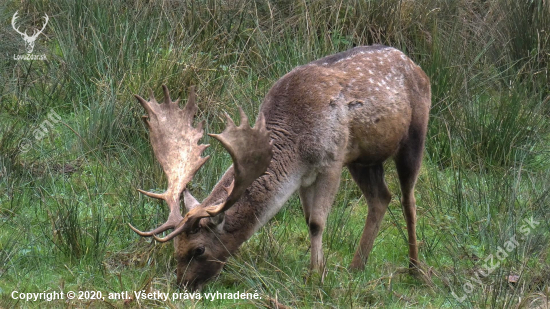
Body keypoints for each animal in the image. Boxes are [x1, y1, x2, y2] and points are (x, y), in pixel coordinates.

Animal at [130, 44, 432, 290]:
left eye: (199, 250)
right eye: (176, 247)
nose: (183, 284)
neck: (296, 143)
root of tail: (417, 66)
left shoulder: (332, 159)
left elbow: (317, 222)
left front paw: (314, 277)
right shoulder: (305, 176)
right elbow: (309, 220)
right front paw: (319, 270)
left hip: (415, 134)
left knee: (408, 200)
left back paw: (416, 269)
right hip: (364, 159)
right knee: (381, 197)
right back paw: (357, 266)